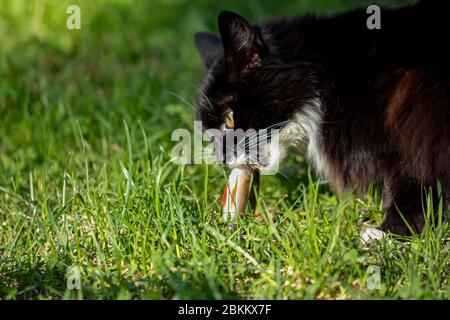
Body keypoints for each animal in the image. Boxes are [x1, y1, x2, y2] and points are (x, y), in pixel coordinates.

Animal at [193, 0, 450, 235]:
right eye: (208, 133)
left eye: (229, 118)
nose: (221, 159)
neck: (328, 77)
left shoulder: (410, 137)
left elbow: (413, 183)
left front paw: (387, 233)